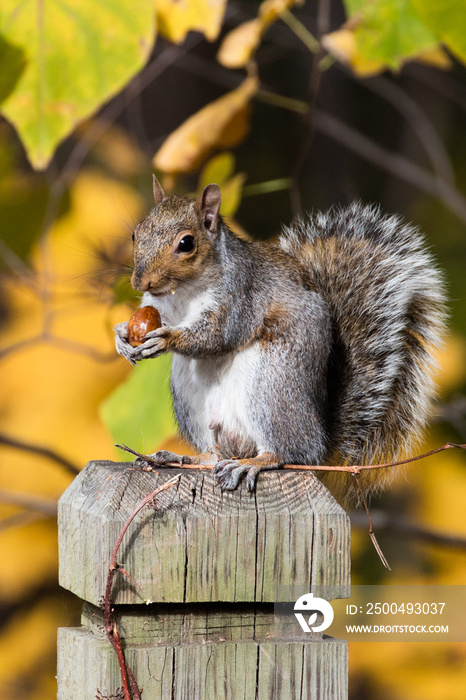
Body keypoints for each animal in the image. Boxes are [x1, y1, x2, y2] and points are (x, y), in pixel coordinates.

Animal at [114, 176, 446, 498]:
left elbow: (217, 335)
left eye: (186, 243)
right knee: (214, 453)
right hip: (191, 397)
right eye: (135, 234)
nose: (140, 281)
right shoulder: (160, 307)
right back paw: (181, 457)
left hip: (271, 387)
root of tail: (320, 437)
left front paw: (166, 339)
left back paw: (252, 464)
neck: (183, 291)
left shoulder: (240, 296)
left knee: (290, 452)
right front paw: (122, 336)